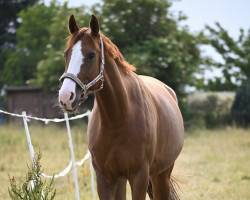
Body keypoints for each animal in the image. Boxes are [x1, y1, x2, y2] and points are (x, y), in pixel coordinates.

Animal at [58, 14, 184, 200]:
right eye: (66, 54)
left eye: (91, 55)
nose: (66, 96)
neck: (118, 118)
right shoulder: (104, 178)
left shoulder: (140, 176)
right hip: (122, 179)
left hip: (162, 175)